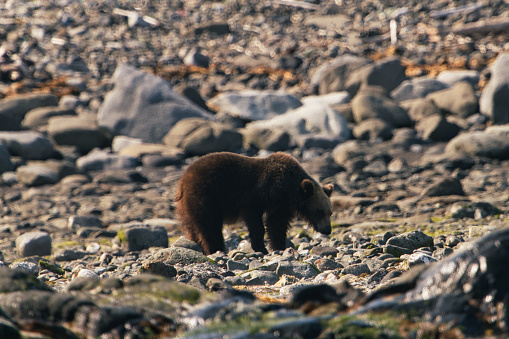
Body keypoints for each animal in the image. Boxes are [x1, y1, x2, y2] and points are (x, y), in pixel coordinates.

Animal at [175, 152, 334, 255]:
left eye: (330, 212)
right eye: (319, 211)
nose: (327, 230)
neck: (290, 188)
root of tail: (183, 180)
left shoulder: (283, 204)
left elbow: (277, 224)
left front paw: (280, 247)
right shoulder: (256, 196)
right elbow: (257, 222)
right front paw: (261, 248)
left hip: (186, 206)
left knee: (192, 225)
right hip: (206, 196)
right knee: (209, 226)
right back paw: (215, 249)